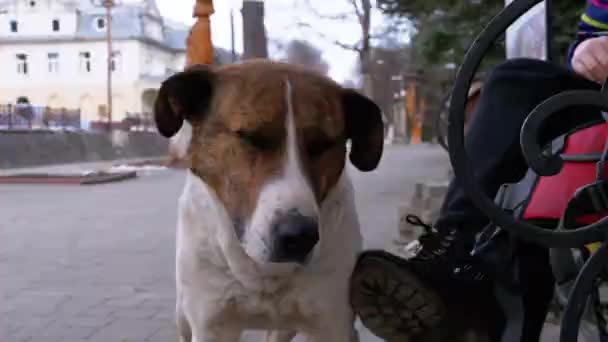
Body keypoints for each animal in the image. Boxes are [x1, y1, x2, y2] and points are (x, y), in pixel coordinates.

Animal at [156, 60, 384, 340]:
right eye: (252, 138)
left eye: (321, 145)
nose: (299, 237)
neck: (263, 274)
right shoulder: (211, 324)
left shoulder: (332, 323)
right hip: (183, 316)